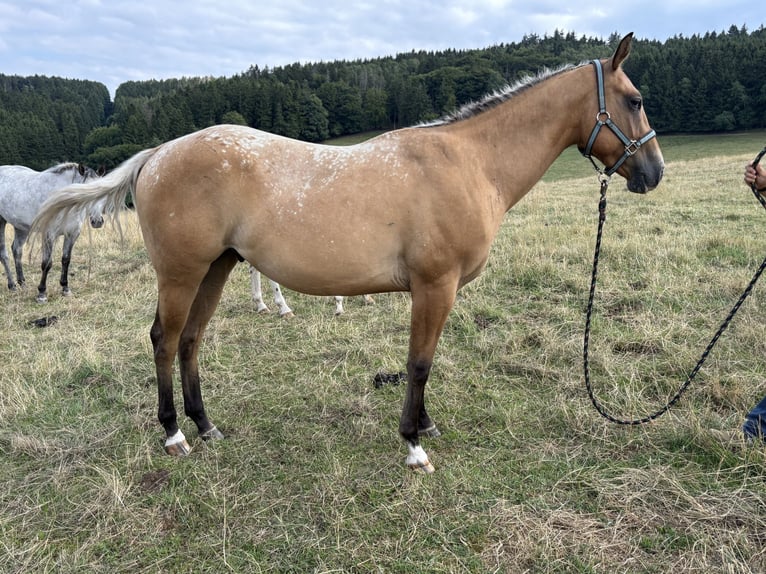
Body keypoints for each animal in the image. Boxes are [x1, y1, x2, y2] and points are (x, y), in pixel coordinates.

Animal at [0, 162, 105, 302]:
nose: (97, 221)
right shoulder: (49, 234)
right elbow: (47, 263)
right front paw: (41, 293)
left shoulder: (72, 234)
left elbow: (66, 260)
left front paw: (65, 288)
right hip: (1, 222)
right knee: (4, 254)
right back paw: (12, 286)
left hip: (21, 227)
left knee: (16, 250)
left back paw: (22, 284)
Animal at [31, 34, 663, 472]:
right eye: (634, 100)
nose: (654, 173)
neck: (468, 162)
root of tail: (159, 153)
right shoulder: (435, 286)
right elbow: (419, 362)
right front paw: (413, 444)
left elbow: (424, 362)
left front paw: (424, 427)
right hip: (182, 273)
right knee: (164, 340)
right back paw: (174, 434)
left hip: (215, 268)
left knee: (190, 340)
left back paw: (206, 426)